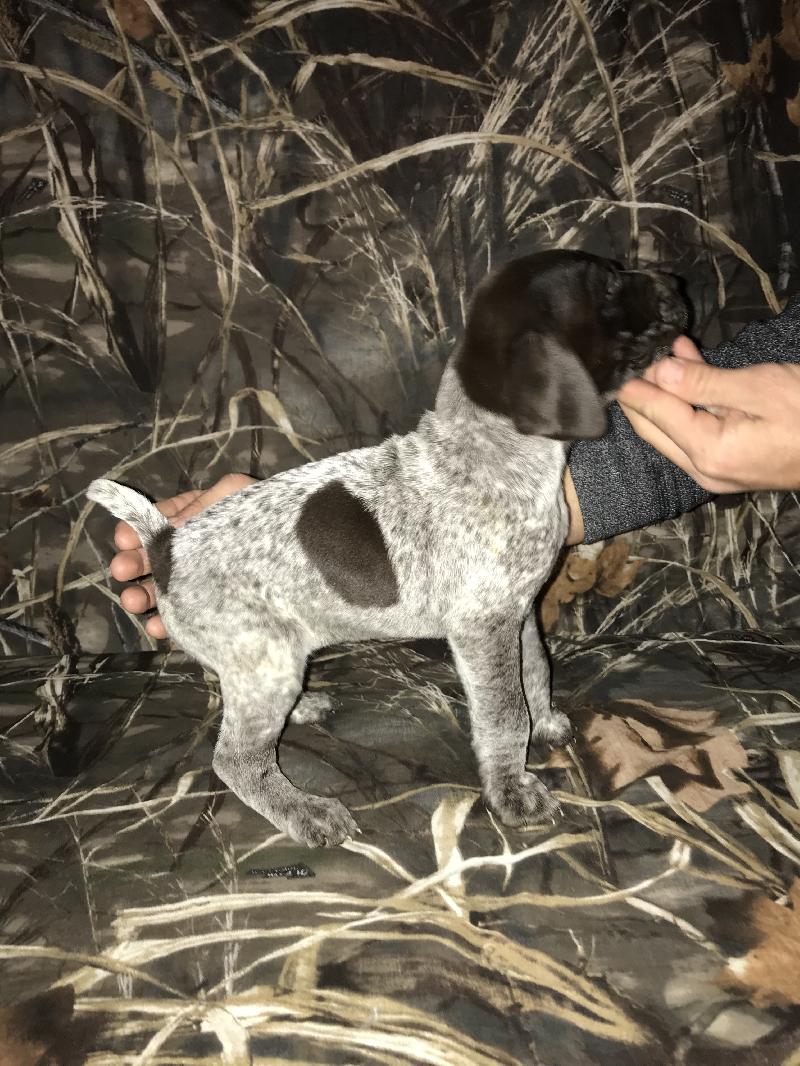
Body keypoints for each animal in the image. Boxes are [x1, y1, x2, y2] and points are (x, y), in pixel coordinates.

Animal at [90, 251, 686, 848]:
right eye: (607, 283)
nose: (674, 281)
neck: (493, 453)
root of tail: (167, 543)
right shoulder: (483, 627)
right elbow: (503, 714)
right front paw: (512, 792)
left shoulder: (518, 613)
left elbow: (535, 672)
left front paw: (544, 722)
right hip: (264, 658)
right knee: (236, 760)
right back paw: (304, 811)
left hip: (264, 660)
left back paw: (303, 707)